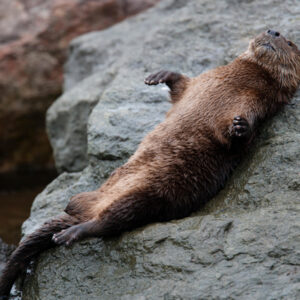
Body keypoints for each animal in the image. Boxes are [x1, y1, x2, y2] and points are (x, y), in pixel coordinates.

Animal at [0, 29, 300, 298]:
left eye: (290, 42)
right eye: (271, 30)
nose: (273, 31)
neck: (236, 80)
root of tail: (89, 208)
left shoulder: (255, 105)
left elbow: (239, 138)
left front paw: (240, 127)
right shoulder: (200, 81)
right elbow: (181, 85)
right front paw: (159, 75)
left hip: (149, 195)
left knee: (110, 223)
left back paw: (71, 234)